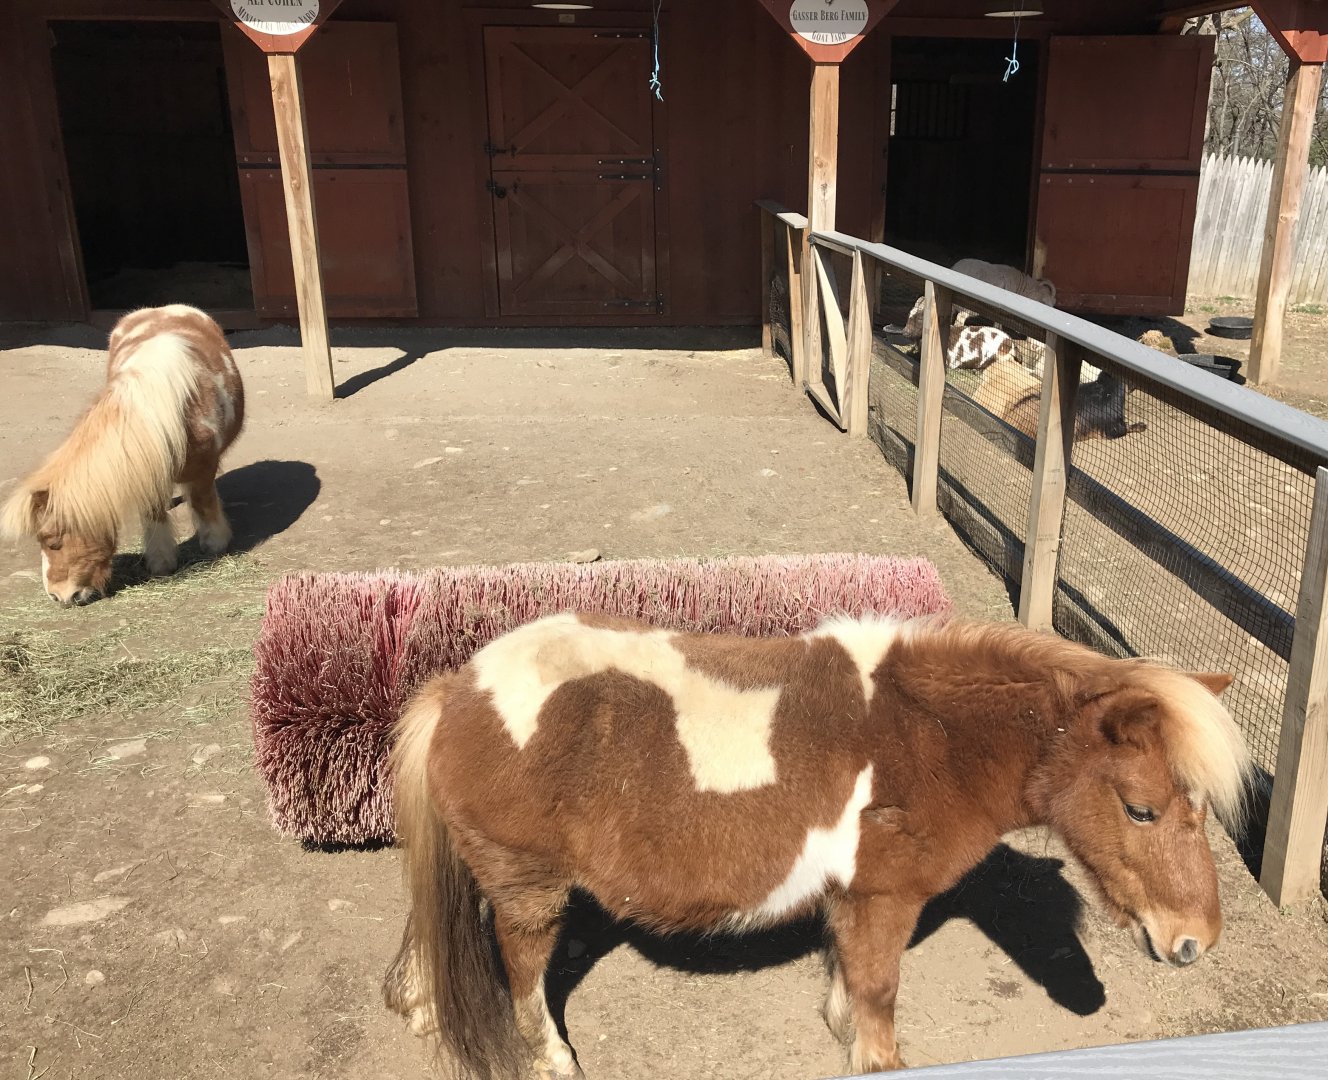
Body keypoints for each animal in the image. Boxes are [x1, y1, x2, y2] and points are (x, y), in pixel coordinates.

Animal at [0, 305, 244, 606]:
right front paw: (161, 560)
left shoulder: (203, 467)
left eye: (53, 542)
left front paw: (215, 543)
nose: (58, 596)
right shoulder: (149, 473)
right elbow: (153, 512)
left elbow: (202, 501)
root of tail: (162, 309)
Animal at [383, 611, 1250, 1079]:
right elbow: (878, 995)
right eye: (1141, 810)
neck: (929, 737)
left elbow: (849, 981)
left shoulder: (851, 899)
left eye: (1202, 810)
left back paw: (417, 1003)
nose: (1194, 942)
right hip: (528, 890)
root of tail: (458, 688)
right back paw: (550, 1057)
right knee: (524, 973)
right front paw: (874, 1055)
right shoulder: (885, 899)